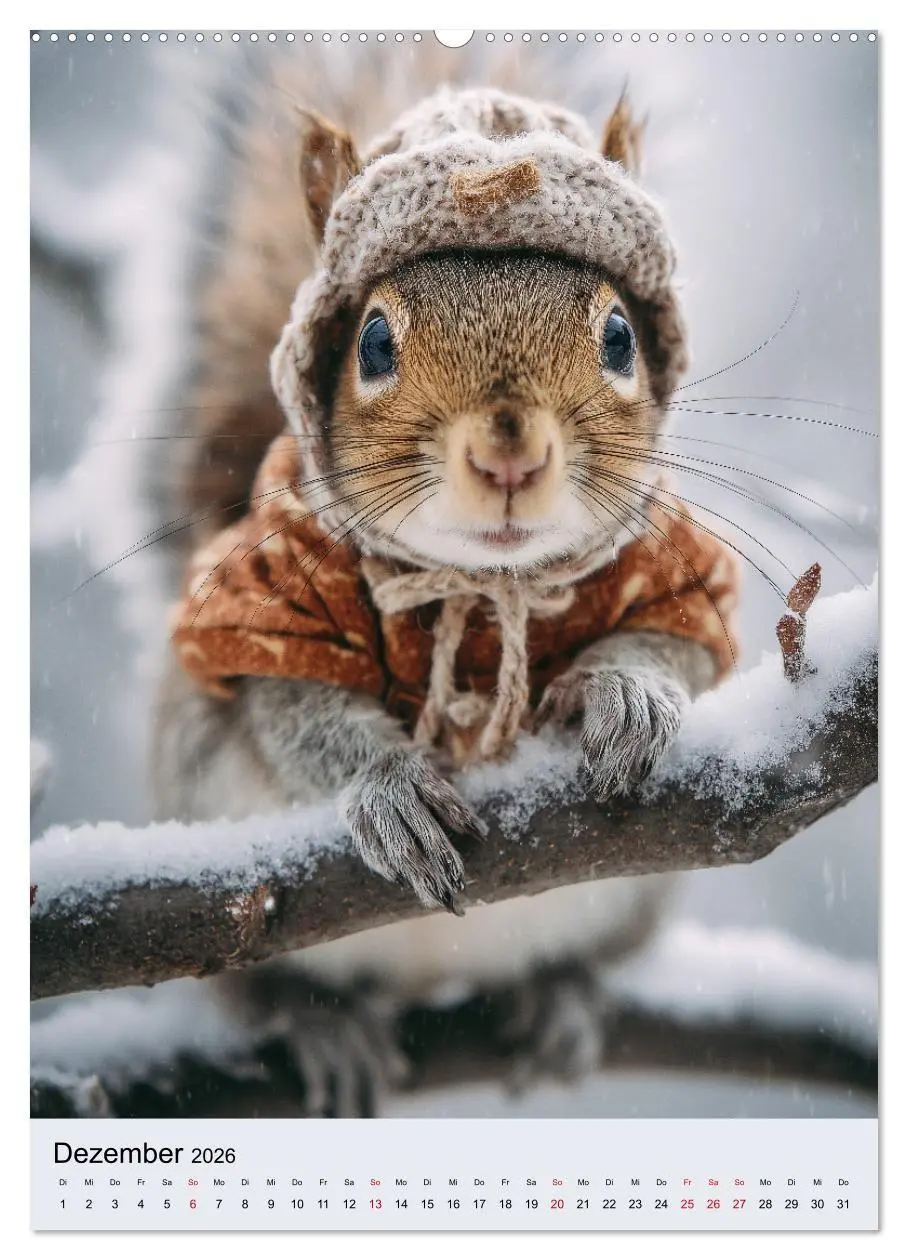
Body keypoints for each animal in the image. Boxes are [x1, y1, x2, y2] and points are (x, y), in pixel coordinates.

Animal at [149, 60, 740, 1111]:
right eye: (373, 344)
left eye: (620, 337)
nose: (510, 453)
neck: (484, 584)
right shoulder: (269, 596)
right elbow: (290, 708)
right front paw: (391, 792)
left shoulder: (671, 563)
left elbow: (679, 645)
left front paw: (627, 695)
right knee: (265, 993)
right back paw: (326, 1029)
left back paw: (561, 1001)